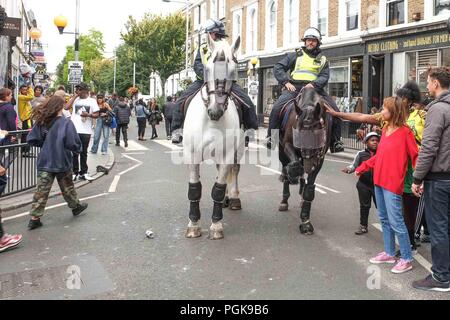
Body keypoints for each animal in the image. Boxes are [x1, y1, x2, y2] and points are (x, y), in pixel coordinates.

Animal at [182, 35, 244, 240]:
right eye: (207, 68)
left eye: (233, 70)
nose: (215, 111)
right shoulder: (192, 154)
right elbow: (194, 189)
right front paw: (193, 224)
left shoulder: (227, 154)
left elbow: (218, 189)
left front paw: (216, 225)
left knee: (234, 170)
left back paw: (233, 198)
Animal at [276, 87, 332, 235]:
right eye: (298, 132)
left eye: (316, 133)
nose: (307, 156)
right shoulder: (288, 145)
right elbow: (294, 166)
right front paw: (292, 176)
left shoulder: (320, 157)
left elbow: (309, 189)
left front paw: (305, 221)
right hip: (281, 151)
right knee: (286, 166)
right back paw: (284, 199)